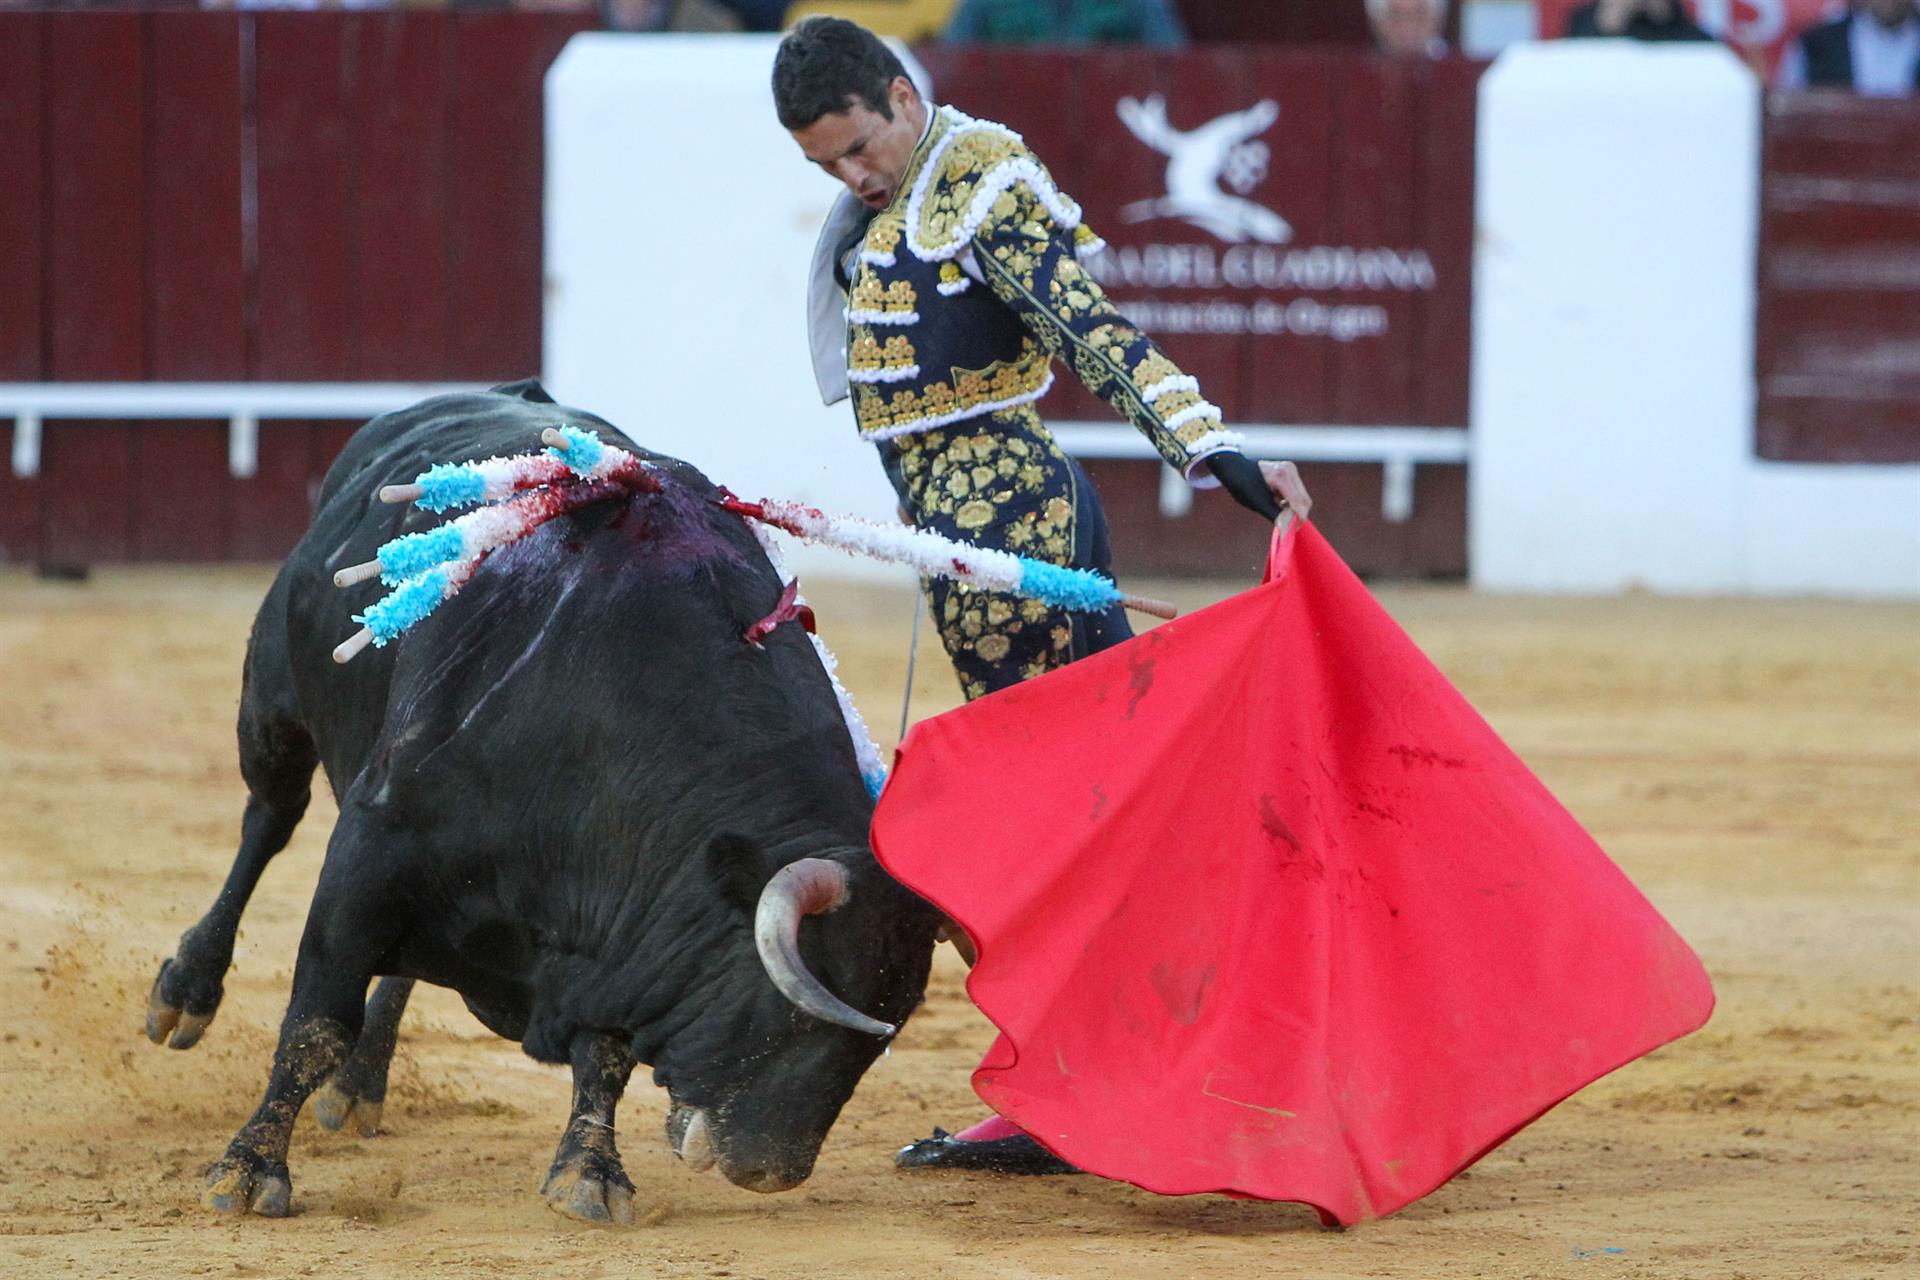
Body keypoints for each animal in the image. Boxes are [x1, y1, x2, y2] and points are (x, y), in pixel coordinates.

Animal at [142, 387, 936, 1220]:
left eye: (881, 1038)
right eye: (793, 1006)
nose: (772, 1170)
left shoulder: (620, 932)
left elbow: (607, 1055)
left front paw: (589, 1171)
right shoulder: (371, 849)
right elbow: (316, 1019)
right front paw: (247, 1167)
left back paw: (361, 1085)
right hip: (273, 707)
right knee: (268, 822)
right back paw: (185, 993)